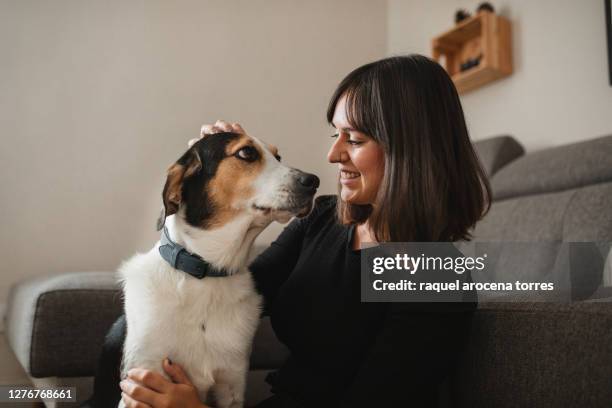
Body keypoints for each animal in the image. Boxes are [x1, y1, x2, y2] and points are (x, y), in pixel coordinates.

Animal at [115, 131, 318, 408]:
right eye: (246, 153)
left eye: (278, 157)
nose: (314, 181)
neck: (207, 272)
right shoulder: (141, 380)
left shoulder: (231, 386)